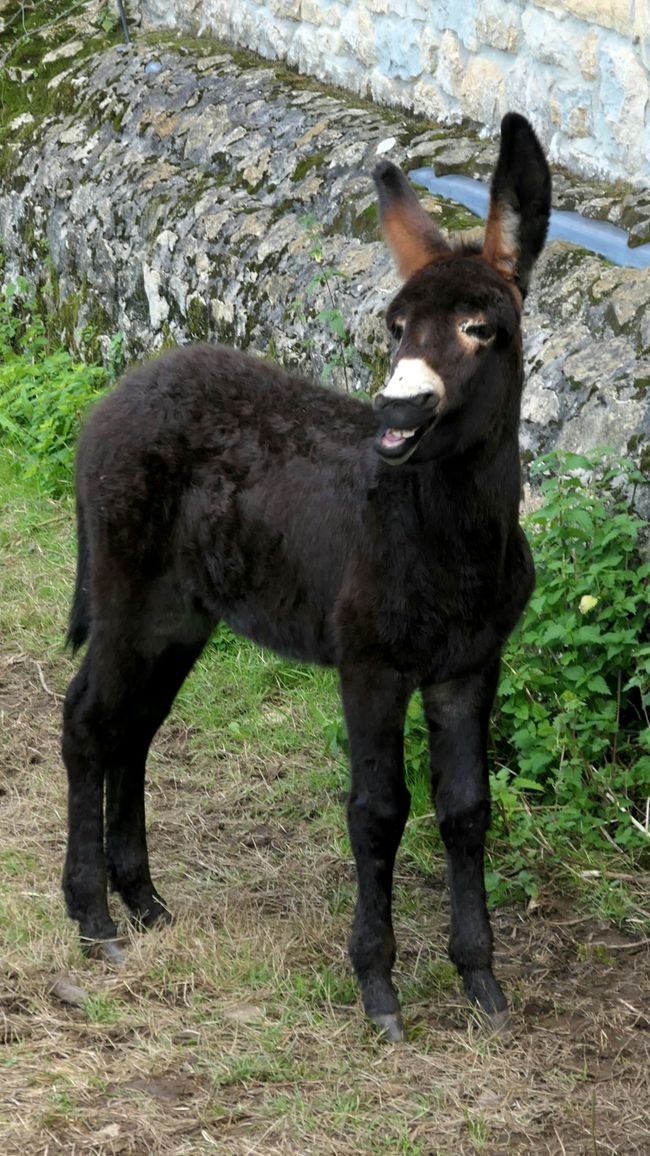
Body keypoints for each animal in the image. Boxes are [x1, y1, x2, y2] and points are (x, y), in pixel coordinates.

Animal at [60, 112, 548, 1045]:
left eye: (483, 327)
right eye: (396, 325)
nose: (397, 412)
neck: (447, 534)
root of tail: (125, 390)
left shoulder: (470, 665)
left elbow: (467, 810)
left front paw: (483, 984)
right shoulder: (370, 665)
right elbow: (379, 812)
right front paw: (379, 990)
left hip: (180, 613)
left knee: (133, 728)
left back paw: (143, 901)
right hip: (125, 587)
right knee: (89, 723)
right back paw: (92, 916)